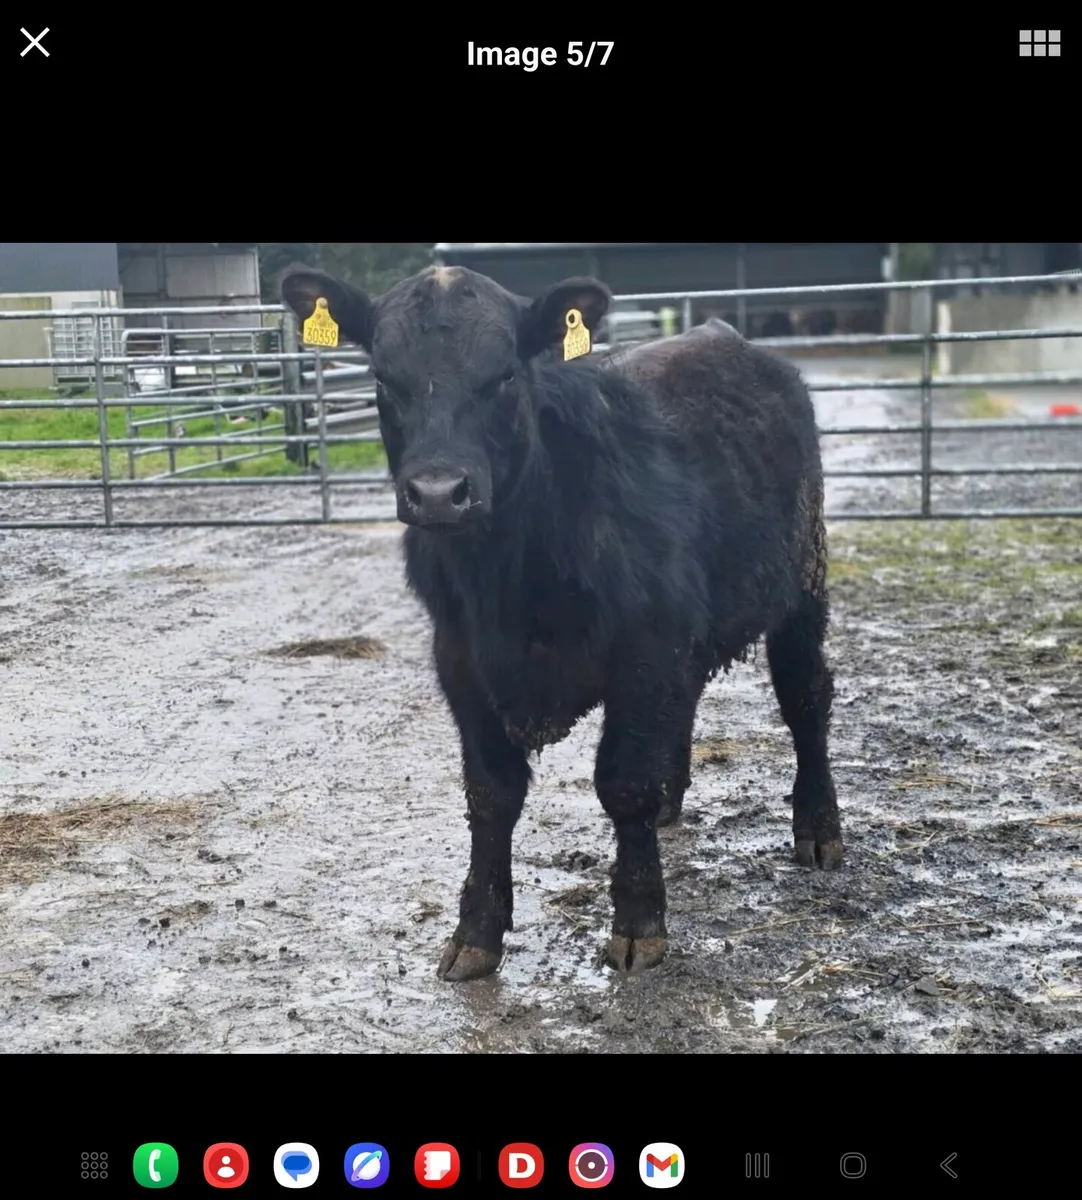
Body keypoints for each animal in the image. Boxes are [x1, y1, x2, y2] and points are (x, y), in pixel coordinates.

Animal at [279, 263, 844, 982]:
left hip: (802, 583)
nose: (438, 494)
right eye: (382, 378)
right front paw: (476, 931)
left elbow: (623, 783)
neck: (509, 578)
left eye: (504, 376)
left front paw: (638, 923)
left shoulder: (645, 651)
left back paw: (818, 828)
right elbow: (491, 795)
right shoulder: (461, 663)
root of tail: (729, 337)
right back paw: (673, 801)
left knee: (806, 700)